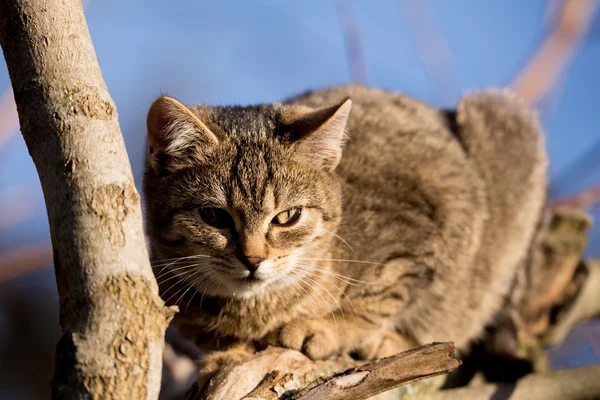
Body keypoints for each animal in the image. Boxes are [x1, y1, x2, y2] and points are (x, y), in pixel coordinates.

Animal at [143, 83, 548, 378]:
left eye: (287, 216)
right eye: (214, 216)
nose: (253, 259)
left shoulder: (426, 231)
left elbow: (383, 295)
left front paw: (328, 328)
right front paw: (231, 354)